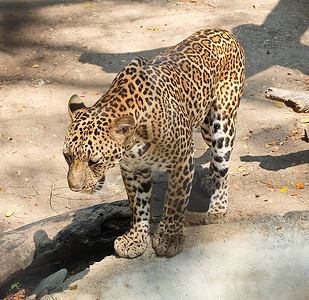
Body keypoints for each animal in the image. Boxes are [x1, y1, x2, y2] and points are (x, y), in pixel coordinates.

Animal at [63, 29, 244, 258]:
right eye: (67, 156)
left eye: (94, 161)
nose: (74, 188)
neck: (133, 142)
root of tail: (225, 32)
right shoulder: (133, 169)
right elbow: (137, 204)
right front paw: (135, 239)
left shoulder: (182, 159)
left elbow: (175, 201)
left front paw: (169, 237)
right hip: (204, 125)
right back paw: (210, 180)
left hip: (221, 123)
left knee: (223, 163)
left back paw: (217, 207)